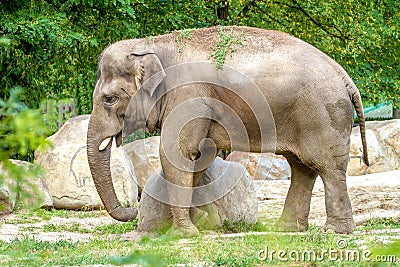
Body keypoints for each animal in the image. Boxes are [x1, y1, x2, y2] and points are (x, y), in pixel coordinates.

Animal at [87, 26, 368, 237]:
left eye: (109, 99)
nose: (131, 210)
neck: (153, 44)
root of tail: (345, 77)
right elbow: (200, 156)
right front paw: (194, 221)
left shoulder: (188, 95)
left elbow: (177, 154)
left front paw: (183, 233)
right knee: (302, 168)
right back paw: (286, 229)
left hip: (322, 116)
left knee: (327, 168)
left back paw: (335, 231)